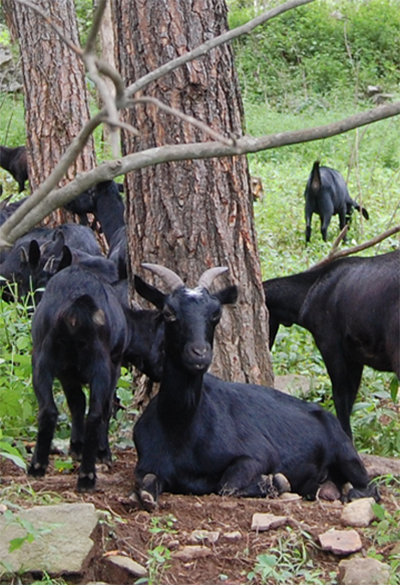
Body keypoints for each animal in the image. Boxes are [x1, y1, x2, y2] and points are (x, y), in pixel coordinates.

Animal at [28, 262, 164, 490]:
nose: (162, 372)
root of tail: (77, 306)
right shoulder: (114, 364)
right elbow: (105, 408)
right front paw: (102, 453)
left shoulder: (67, 372)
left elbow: (76, 403)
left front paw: (76, 447)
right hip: (100, 362)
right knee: (95, 414)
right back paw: (87, 477)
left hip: (42, 356)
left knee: (48, 409)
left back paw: (37, 466)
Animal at [132, 262, 378, 508]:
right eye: (168, 313)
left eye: (216, 314)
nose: (199, 354)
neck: (180, 429)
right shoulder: (147, 464)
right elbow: (146, 486)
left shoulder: (258, 454)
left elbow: (228, 485)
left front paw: (276, 482)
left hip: (346, 452)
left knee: (370, 488)